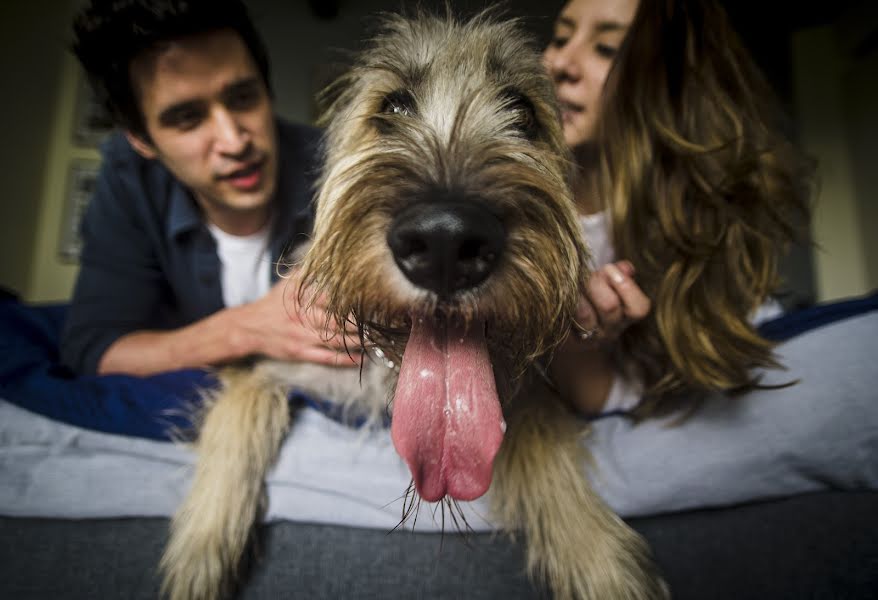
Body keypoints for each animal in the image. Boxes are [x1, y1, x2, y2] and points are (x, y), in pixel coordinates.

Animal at [160, 10, 668, 600]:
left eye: (522, 111)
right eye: (392, 107)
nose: (446, 241)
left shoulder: (523, 397)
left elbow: (545, 442)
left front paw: (597, 554)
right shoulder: (270, 369)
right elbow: (237, 416)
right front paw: (201, 543)